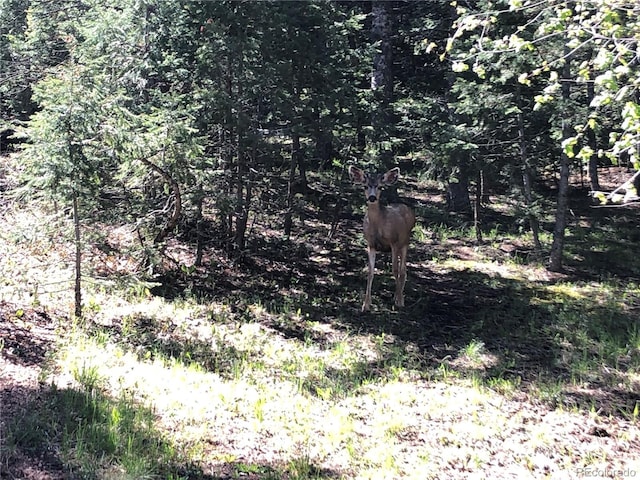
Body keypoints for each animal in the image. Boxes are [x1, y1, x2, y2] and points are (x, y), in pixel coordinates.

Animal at [348, 167, 418, 314]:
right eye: (365, 186)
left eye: (380, 187)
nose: (372, 197)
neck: (378, 224)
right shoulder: (371, 244)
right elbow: (370, 272)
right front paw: (366, 305)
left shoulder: (393, 242)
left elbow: (395, 270)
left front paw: (399, 301)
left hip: (405, 242)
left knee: (403, 270)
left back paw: (399, 298)